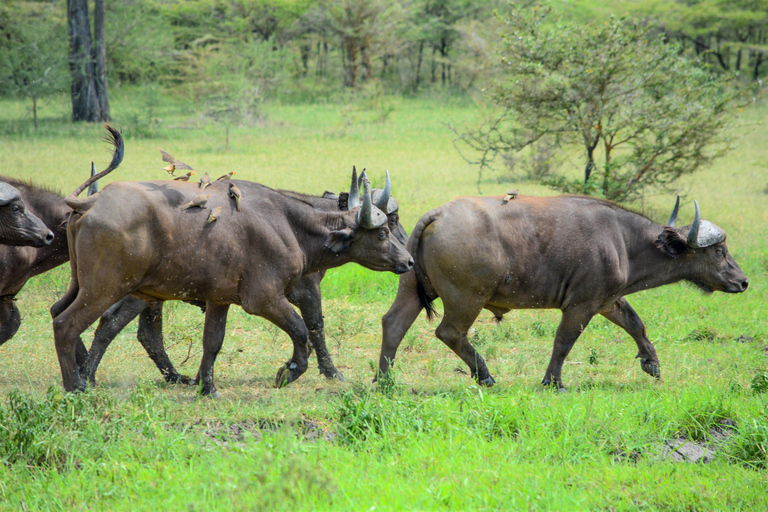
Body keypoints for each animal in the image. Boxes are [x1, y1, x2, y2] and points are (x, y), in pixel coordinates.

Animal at [52, 166, 414, 394]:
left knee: (62, 312)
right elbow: (306, 330)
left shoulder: (219, 299)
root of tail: (89, 202)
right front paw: (292, 372)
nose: (409, 259)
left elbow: (213, 341)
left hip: (87, 286)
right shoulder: (269, 299)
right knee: (74, 325)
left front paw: (207, 386)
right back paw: (78, 385)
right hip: (108, 289)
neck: (290, 225)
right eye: (384, 230)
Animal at [378, 195, 752, 388]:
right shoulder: (582, 305)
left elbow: (636, 323)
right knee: (450, 333)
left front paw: (652, 363)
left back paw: (383, 379)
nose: (744, 281)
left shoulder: (607, 300)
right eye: (719, 252)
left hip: (411, 287)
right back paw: (485, 375)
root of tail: (438, 214)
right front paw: (552, 381)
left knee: (393, 324)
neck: (623, 240)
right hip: (466, 300)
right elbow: (564, 342)